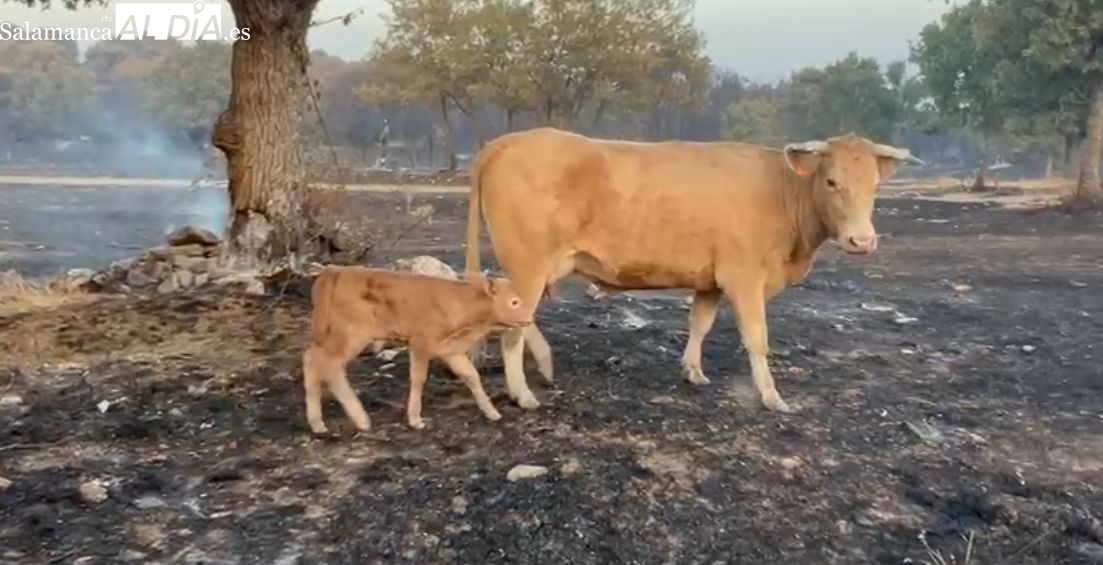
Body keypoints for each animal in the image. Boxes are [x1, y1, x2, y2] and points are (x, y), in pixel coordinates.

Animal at [302, 266, 532, 434]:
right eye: (514, 302)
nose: (529, 319)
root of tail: (335, 271)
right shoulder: (421, 343)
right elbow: (419, 378)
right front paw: (415, 419)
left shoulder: (450, 350)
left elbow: (471, 375)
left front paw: (492, 412)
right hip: (352, 336)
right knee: (330, 366)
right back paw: (361, 419)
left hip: (329, 337)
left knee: (311, 360)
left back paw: (317, 424)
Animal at [462, 127, 920, 413]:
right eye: (831, 181)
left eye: (875, 185)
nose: (862, 241)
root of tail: (506, 141)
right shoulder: (744, 277)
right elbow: (757, 339)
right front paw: (770, 395)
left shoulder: (711, 281)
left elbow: (700, 324)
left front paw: (693, 370)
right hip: (528, 265)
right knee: (511, 332)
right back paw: (523, 394)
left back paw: (543, 365)